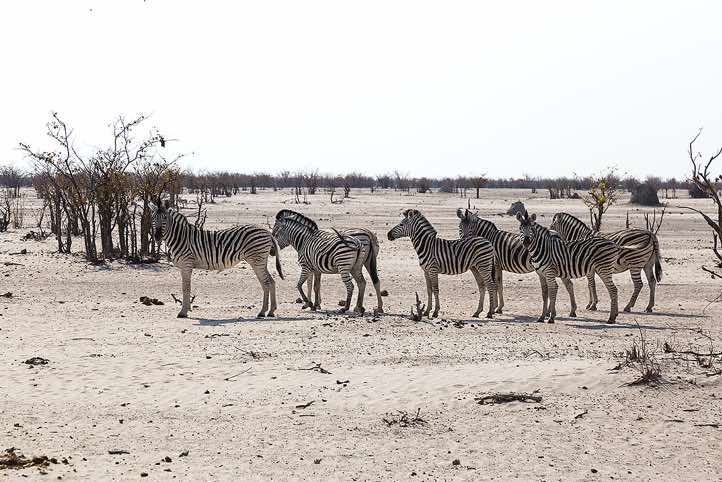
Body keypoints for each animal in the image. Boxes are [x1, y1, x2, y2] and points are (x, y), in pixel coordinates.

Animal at [150, 200, 284, 318]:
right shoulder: (185, 266)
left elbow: (186, 287)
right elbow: (187, 287)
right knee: (271, 282)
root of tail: (267, 232)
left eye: (165, 219)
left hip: (257, 260)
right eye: (153, 218)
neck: (181, 237)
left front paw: (183, 312)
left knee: (266, 283)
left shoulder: (186, 264)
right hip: (261, 260)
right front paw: (187, 309)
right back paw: (271, 311)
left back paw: (262, 312)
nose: (157, 237)